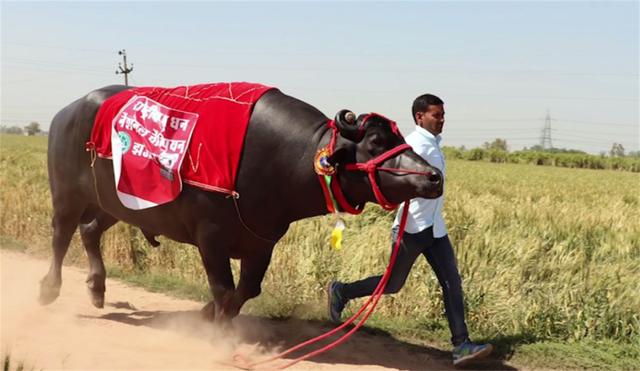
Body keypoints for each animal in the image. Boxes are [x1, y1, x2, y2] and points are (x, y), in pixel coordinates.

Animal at [38, 85, 440, 324]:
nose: (434, 177)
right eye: (374, 142)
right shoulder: (210, 236)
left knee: (89, 231)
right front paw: (217, 328)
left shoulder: (262, 242)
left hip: (114, 202)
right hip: (67, 195)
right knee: (61, 235)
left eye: (400, 138)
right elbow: (223, 288)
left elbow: (245, 291)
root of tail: (66, 112)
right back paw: (49, 289)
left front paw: (210, 315)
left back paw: (97, 289)